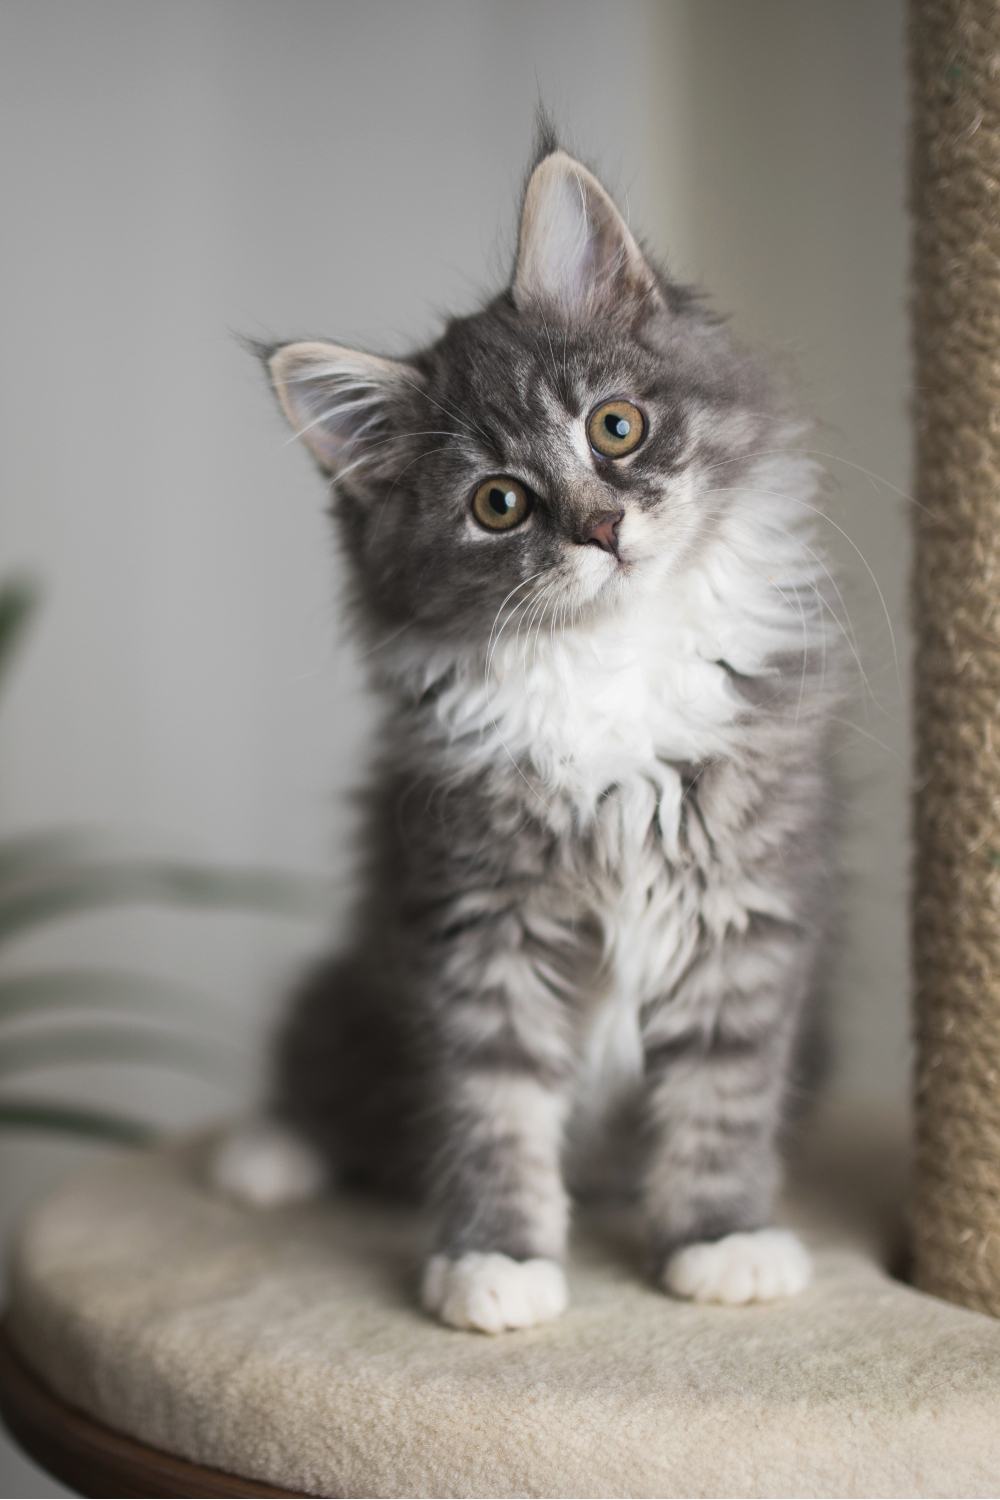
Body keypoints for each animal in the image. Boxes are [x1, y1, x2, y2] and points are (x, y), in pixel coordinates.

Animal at [215, 123, 839, 1332]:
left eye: (616, 426)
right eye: (498, 503)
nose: (602, 529)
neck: (605, 665)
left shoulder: (743, 908)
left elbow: (723, 1092)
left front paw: (722, 1239)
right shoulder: (475, 919)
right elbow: (491, 1107)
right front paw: (495, 1260)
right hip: (351, 988)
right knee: (330, 1087)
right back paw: (263, 1153)